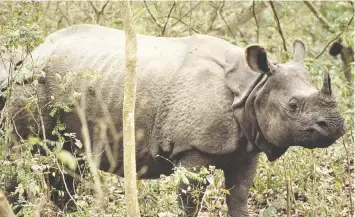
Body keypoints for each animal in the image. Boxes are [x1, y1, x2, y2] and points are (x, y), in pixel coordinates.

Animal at [4, 24, 344, 216]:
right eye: (293, 105)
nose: (337, 125)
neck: (253, 86)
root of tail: (36, 49)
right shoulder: (192, 149)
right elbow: (190, 201)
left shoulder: (248, 146)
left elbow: (239, 197)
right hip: (31, 83)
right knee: (22, 153)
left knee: (68, 161)